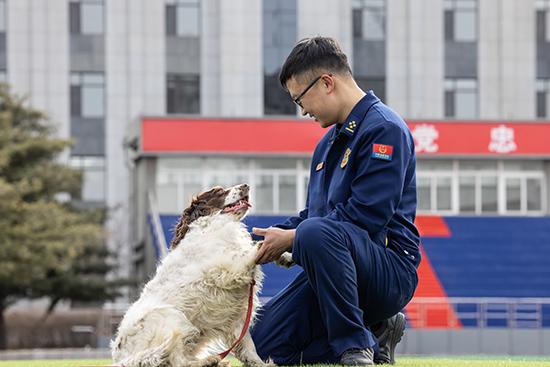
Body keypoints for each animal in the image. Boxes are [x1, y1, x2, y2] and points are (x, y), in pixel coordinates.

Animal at [111, 184, 270, 367]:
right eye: (218, 191)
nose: (246, 186)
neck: (212, 224)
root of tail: (123, 357)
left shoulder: (237, 318)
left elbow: (248, 347)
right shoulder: (227, 269)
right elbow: (249, 253)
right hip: (174, 318)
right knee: (178, 361)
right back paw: (208, 361)